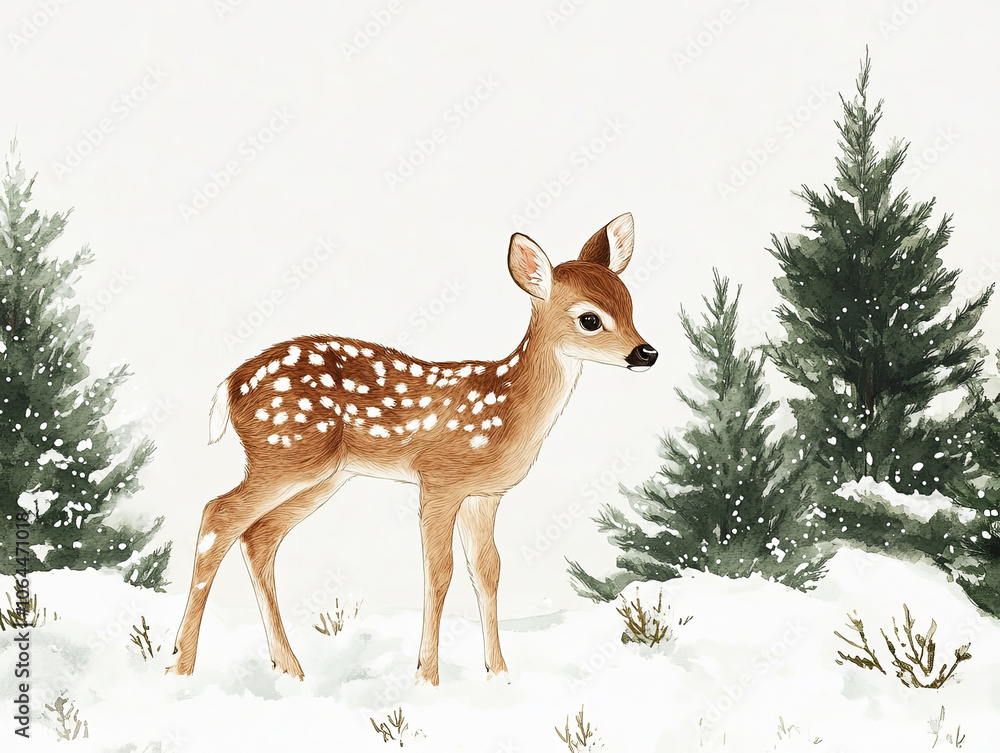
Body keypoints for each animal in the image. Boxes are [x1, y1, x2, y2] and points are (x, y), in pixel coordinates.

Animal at [165, 212, 657, 686]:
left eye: (630, 305)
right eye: (590, 318)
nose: (646, 352)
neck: (508, 408)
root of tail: (229, 386)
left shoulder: (484, 494)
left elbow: (488, 572)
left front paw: (498, 675)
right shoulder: (439, 478)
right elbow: (439, 573)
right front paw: (426, 678)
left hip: (322, 475)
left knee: (259, 536)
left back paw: (289, 668)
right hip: (284, 453)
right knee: (218, 516)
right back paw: (180, 666)